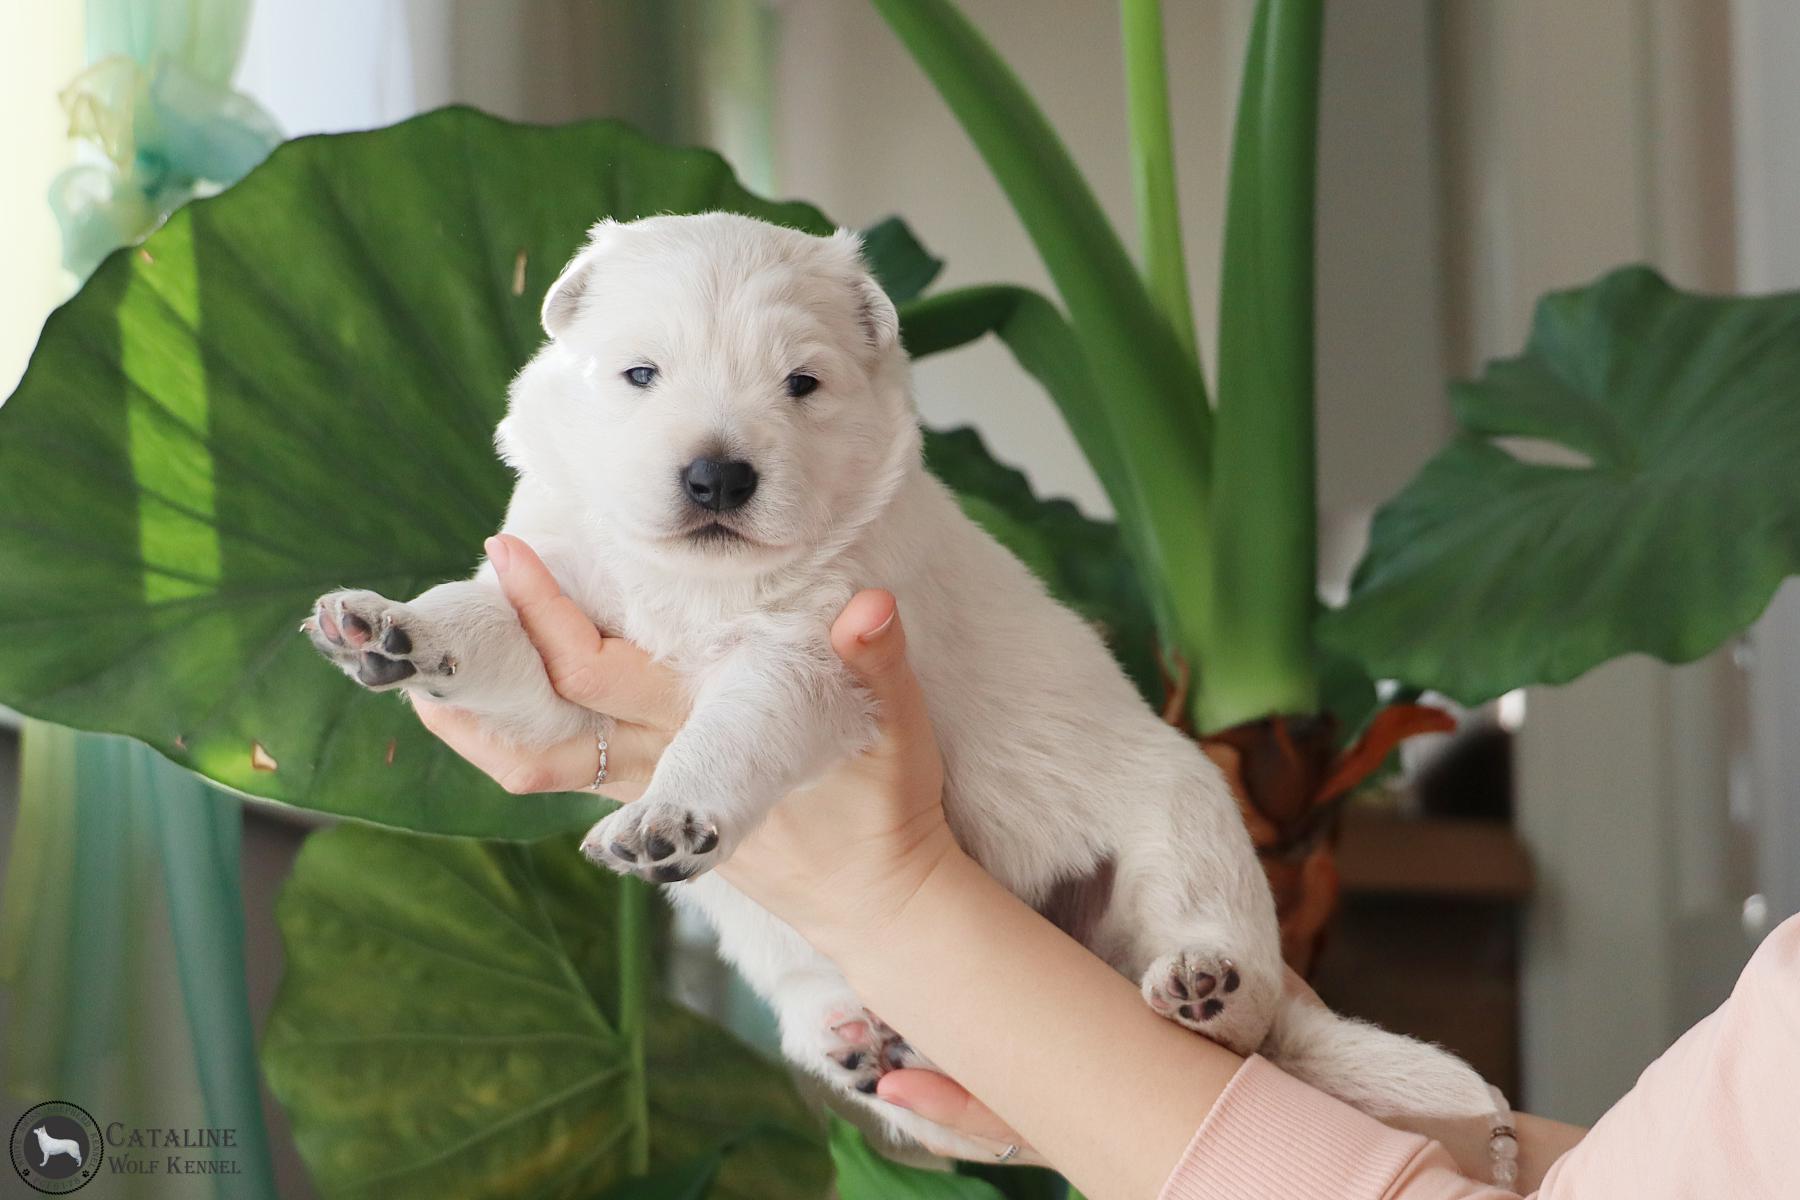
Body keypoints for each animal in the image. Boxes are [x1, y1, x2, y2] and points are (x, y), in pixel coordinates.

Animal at [306, 212, 1495, 1155]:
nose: (717, 476)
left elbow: (730, 731)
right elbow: (484, 622)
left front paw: (668, 814)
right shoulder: (563, 617)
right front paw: (391, 625)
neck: (693, 586)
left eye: (801, 383)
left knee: (1237, 1004)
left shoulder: (813, 660)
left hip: (1188, 824)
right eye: (639, 374)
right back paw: (860, 1042)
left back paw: (1205, 987)